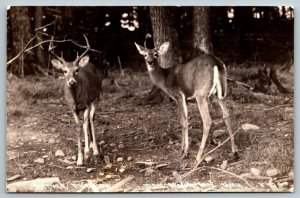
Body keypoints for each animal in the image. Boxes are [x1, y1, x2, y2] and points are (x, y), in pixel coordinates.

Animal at [48, 35, 101, 166]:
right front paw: (80, 159)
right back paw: (91, 146)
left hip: (96, 97)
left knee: (91, 119)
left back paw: (95, 150)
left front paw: (86, 153)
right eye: (64, 71)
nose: (72, 82)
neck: (76, 99)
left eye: (77, 70)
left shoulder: (86, 104)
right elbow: (78, 127)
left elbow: (85, 125)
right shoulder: (72, 108)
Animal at [136, 36, 239, 168]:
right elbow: (181, 121)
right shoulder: (183, 99)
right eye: (144, 55)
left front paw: (185, 152)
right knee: (226, 115)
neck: (164, 79)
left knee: (207, 121)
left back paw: (198, 159)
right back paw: (235, 152)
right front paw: (181, 148)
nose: (150, 62)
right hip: (220, 93)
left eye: (155, 54)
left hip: (201, 92)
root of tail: (216, 63)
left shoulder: (179, 95)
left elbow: (184, 122)